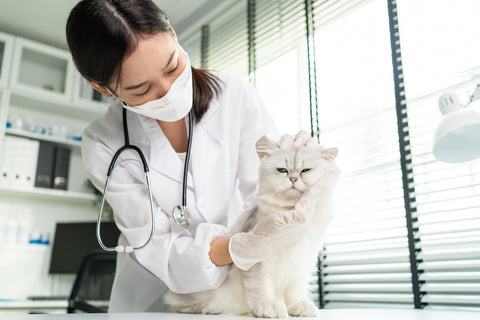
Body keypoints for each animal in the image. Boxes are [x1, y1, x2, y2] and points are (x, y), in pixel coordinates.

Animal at [167, 133, 340, 318]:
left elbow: (295, 292)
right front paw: (268, 309)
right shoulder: (259, 263)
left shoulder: (302, 262)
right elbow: (261, 289)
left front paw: (299, 308)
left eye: (305, 171)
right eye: (282, 171)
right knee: (181, 304)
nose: (293, 179)